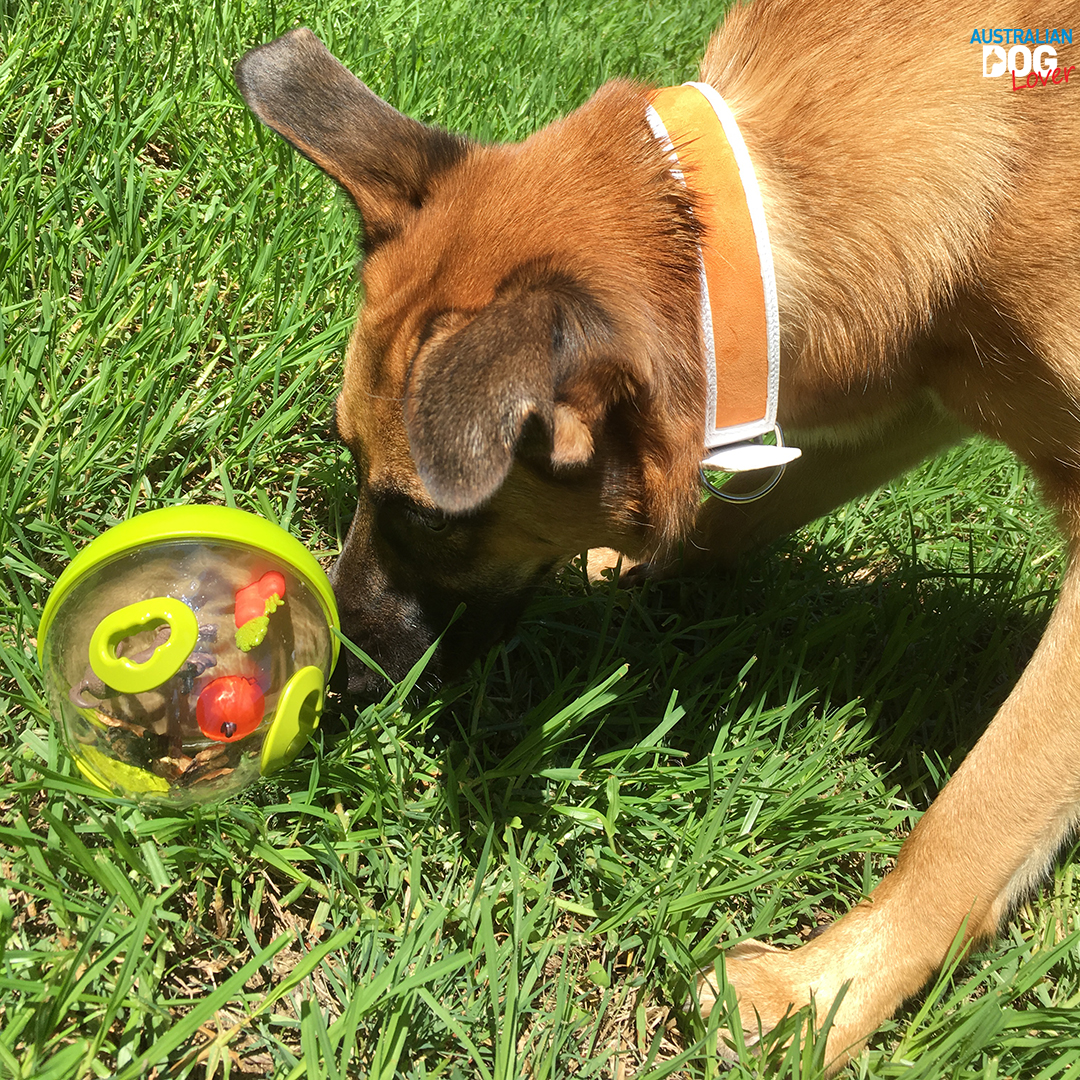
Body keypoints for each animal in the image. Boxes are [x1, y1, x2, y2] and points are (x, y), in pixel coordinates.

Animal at [235, 0, 1080, 1069]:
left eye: (424, 516)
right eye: (346, 457)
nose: (330, 679)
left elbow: (975, 816)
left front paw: (816, 999)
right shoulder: (912, 397)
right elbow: (736, 512)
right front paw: (632, 575)